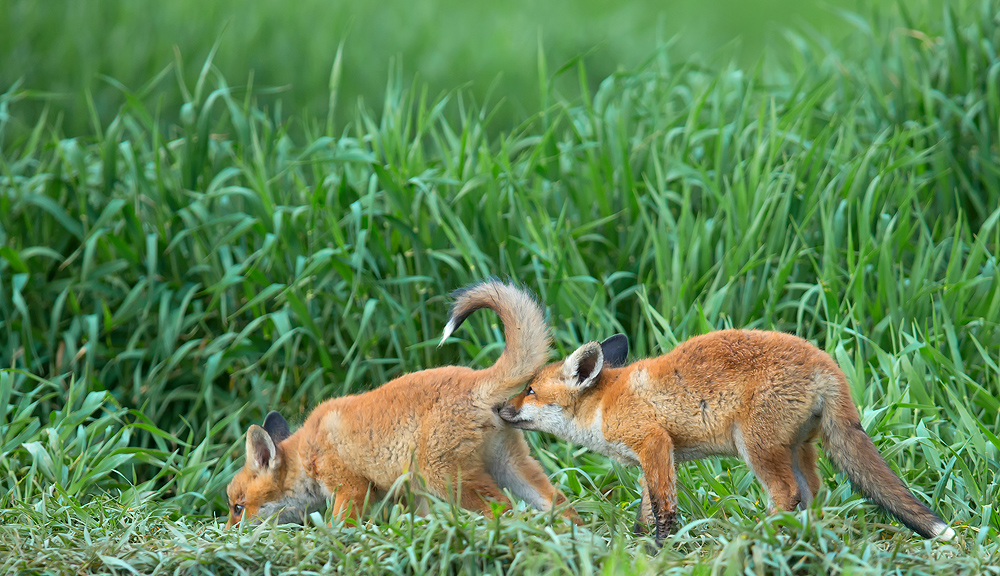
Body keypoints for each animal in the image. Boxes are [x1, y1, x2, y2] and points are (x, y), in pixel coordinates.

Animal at [225, 280, 575, 528]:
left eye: (238, 507)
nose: (227, 533)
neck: (308, 450)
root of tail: (476, 379)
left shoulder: (350, 487)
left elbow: (340, 526)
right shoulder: (407, 494)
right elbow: (418, 520)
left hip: (446, 479)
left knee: (504, 510)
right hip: (509, 466)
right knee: (559, 504)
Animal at [492, 329, 954, 544]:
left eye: (529, 390)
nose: (498, 408)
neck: (604, 404)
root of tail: (824, 361)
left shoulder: (654, 443)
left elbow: (663, 507)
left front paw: (660, 548)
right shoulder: (652, 459)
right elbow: (645, 507)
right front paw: (636, 542)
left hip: (757, 449)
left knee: (785, 493)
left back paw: (758, 535)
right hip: (797, 450)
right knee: (813, 492)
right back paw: (804, 537)